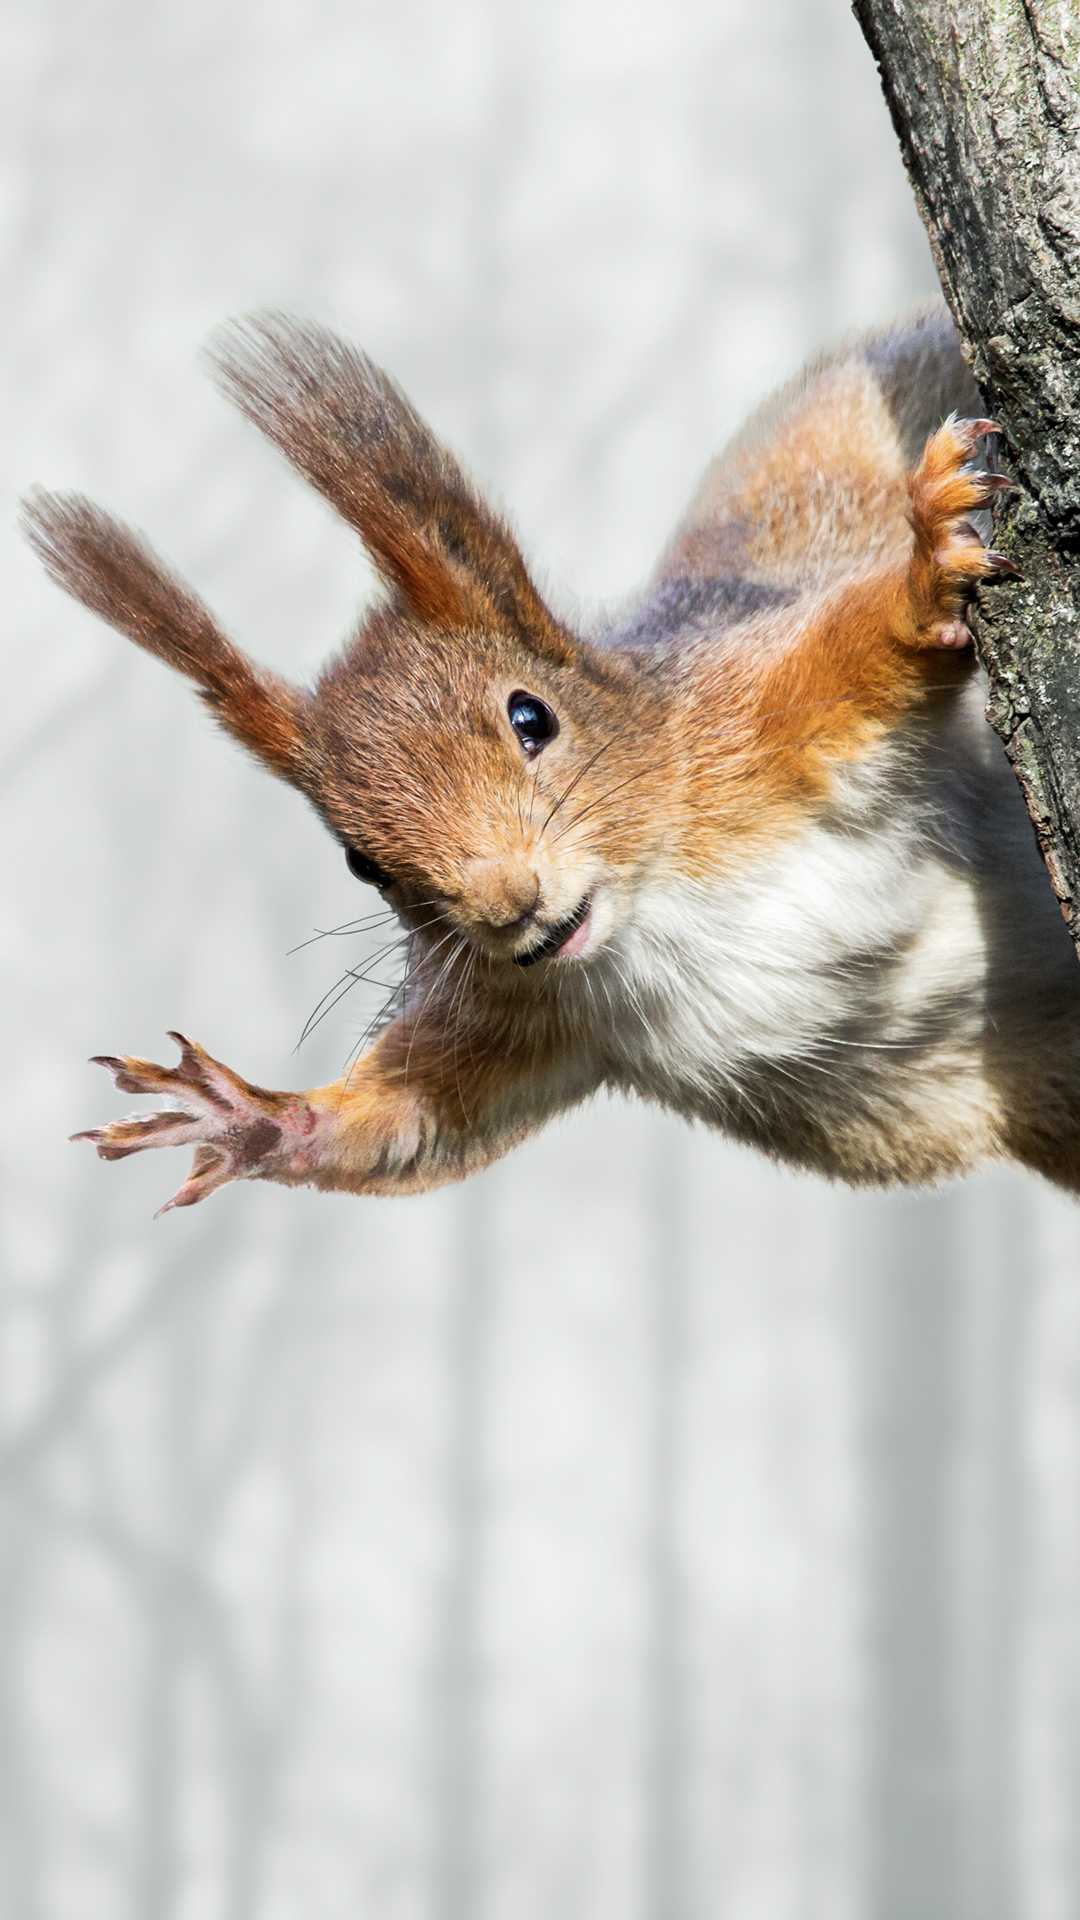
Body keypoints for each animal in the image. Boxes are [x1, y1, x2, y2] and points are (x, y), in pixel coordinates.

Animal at [18, 297, 1076, 1205]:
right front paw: (255, 1118)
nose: (508, 909)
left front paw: (927, 569)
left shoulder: (755, 722)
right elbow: (416, 1121)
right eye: (361, 863)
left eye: (533, 719)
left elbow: (860, 650)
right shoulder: (523, 1015)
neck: (649, 909)